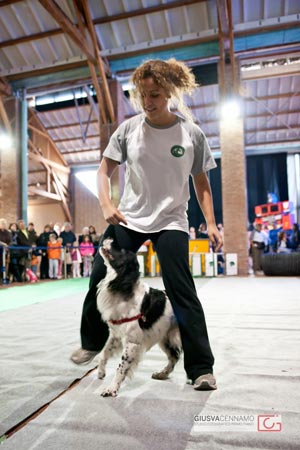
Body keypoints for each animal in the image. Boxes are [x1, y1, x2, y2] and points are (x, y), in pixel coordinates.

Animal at [96, 239, 180, 398]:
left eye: (121, 249)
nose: (109, 238)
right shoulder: (116, 335)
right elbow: (103, 353)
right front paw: (101, 372)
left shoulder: (132, 342)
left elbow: (121, 367)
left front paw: (111, 389)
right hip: (165, 338)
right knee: (174, 356)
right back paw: (162, 374)